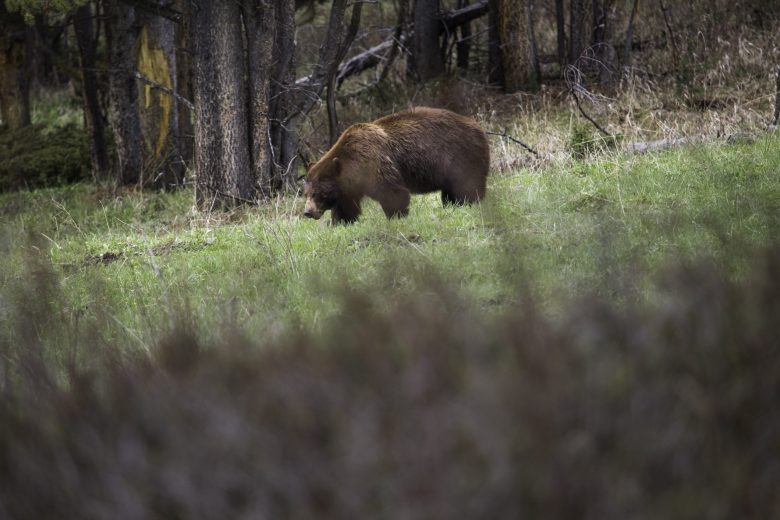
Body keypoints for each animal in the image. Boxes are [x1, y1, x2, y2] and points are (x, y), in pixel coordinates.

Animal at [304, 107, 490, 223]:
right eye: (305, 193)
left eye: (317, 193)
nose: (307, 212)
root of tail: (478, 126)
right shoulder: (348, 187)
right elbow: (346, 207)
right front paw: (341, 221)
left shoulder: (374, 162)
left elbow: (393, 192)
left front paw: (396, 217)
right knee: (450, 193)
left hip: (462, 156)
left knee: (468, 186)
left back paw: (471, 203)